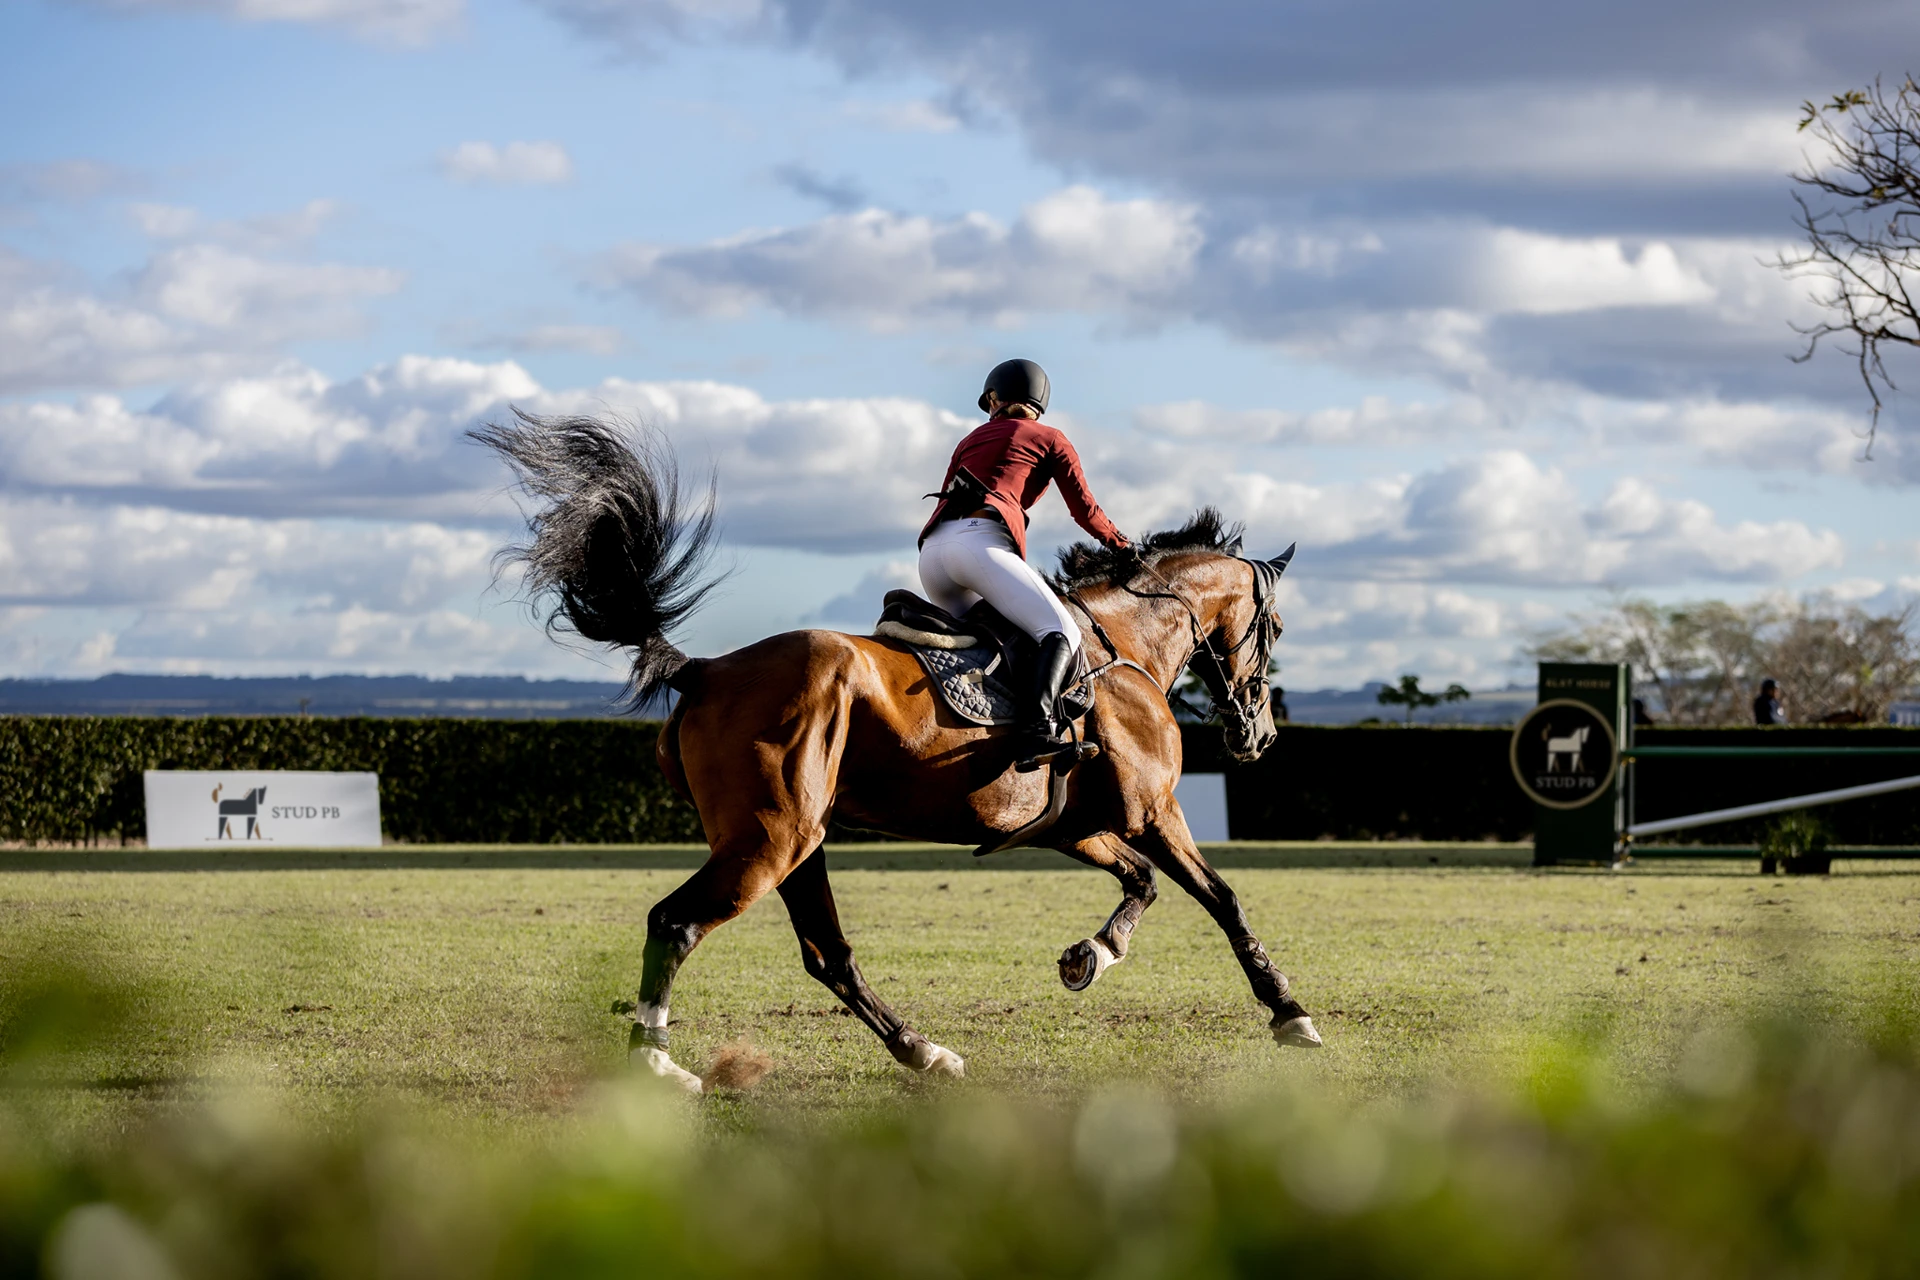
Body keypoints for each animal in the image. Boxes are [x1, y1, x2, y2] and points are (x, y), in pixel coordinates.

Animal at [475, 409, 1321, 1093]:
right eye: (1275, 629)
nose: (1259, 736)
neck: (1125, 645)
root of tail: (706, 669)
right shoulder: (1153, 810)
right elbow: (1222, 898)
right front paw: (1289, 1011)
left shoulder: (1070, 826)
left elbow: (1140, 884)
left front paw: (1090, 954)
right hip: (767, 841)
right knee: (675, 924)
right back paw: (655, 1060)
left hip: (800, 840)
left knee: (827, 954)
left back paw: (922, 1050)